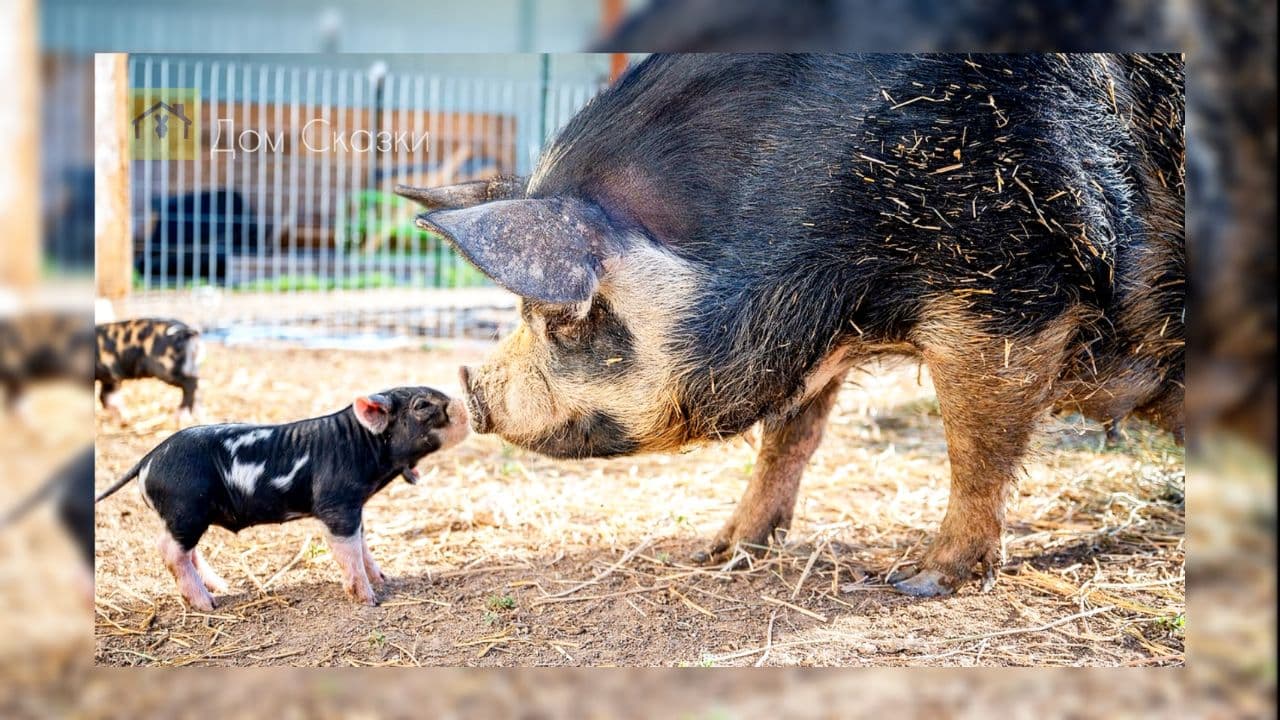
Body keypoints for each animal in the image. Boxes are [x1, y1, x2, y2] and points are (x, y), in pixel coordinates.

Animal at [394, 54, 1182, 594]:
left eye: (564, 319)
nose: (473, 392)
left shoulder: (1013, 286)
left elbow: (977, 446)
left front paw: (918, 581)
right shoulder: (805, 333)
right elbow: (788, 440)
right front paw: (719, 552)